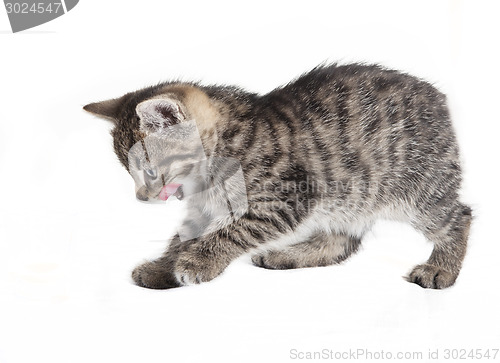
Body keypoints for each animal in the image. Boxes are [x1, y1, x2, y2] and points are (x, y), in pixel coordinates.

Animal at [84, 63, 470, 290]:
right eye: (130, 172)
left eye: (149, 171)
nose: (141, 197)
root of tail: (439, 99)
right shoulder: (204, 208)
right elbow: (183, 236)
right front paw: (165, 266)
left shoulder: (287, 197)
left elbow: (235, 231)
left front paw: (199, 262)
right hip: (349, 195)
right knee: (342, 241)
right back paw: (288, 255)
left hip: (418, 186)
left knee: (458, 216)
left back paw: (441, 269)